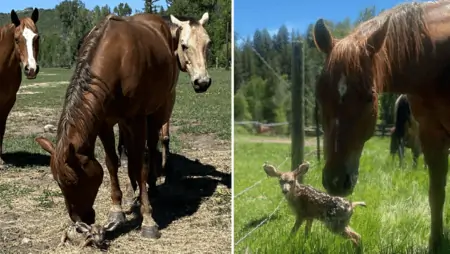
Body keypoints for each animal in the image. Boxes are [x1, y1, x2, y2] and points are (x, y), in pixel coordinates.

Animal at [34, 13, 187, 240]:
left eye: (73, 182)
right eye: (58, 183)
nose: (79, 221)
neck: (116, 60)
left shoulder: (137, 119)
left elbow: (140, 164)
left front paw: (148, 220)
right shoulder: (104, 122)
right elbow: (111, 162)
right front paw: (117, 210)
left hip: (158, 110)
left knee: (152, 146)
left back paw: (151, 187)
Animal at [118, 12, 213, 181]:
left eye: (208, 44)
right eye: (184, 45)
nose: (202, 82)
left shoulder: (168, 97)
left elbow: (164, 136)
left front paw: (165, 167)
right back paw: (122, 156)